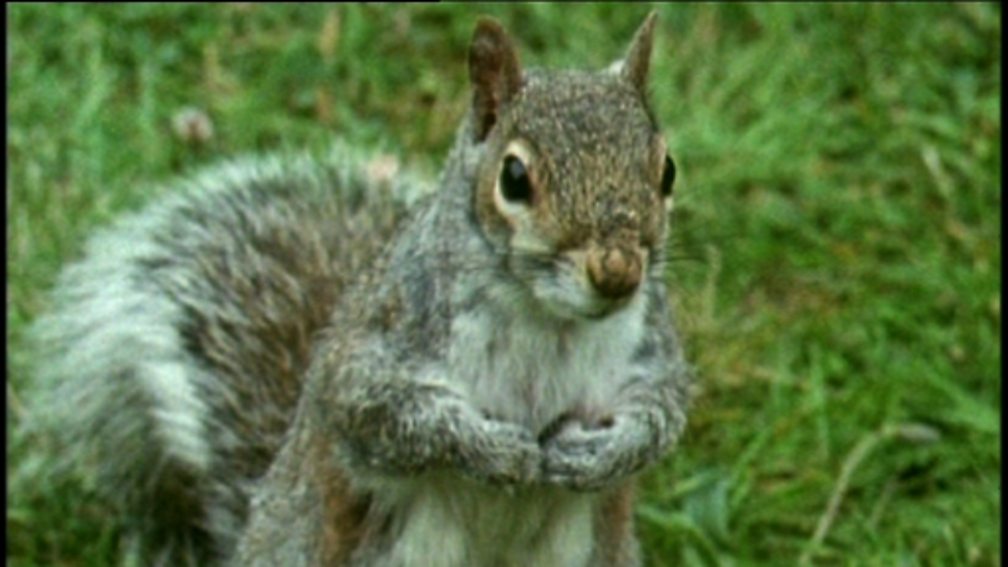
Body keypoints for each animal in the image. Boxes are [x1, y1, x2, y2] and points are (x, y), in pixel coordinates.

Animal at [24, 12, 690, 567]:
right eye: (514, 177)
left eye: (667, 169)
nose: (616, 271)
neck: (548, 317)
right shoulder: (377, 343)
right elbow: (386, 413)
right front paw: (492, 448)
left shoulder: (652, 348)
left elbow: (662, 411)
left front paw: (603, 454)